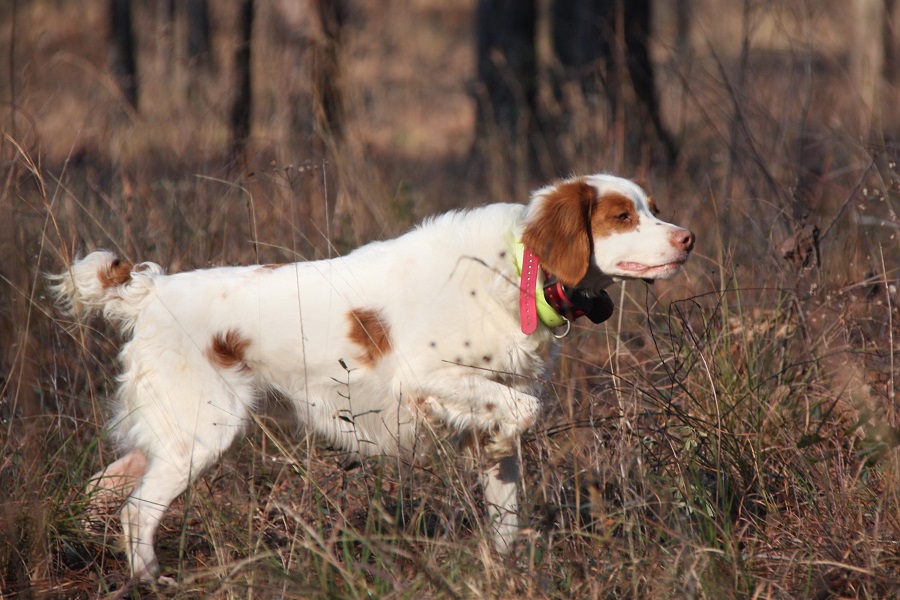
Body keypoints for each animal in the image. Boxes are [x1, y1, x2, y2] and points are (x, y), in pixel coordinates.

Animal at [49, 173, 696, 580]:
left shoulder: (497, 411)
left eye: (653, 206)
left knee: (104, 491)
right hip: (202, 433)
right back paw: (151, 580)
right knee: (137, 512)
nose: (687, 238)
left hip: (171, 436)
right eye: (622, 216)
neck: (518, 270)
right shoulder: (425, 378)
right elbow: (522, 413)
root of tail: (150, 291)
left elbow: (506, 508)